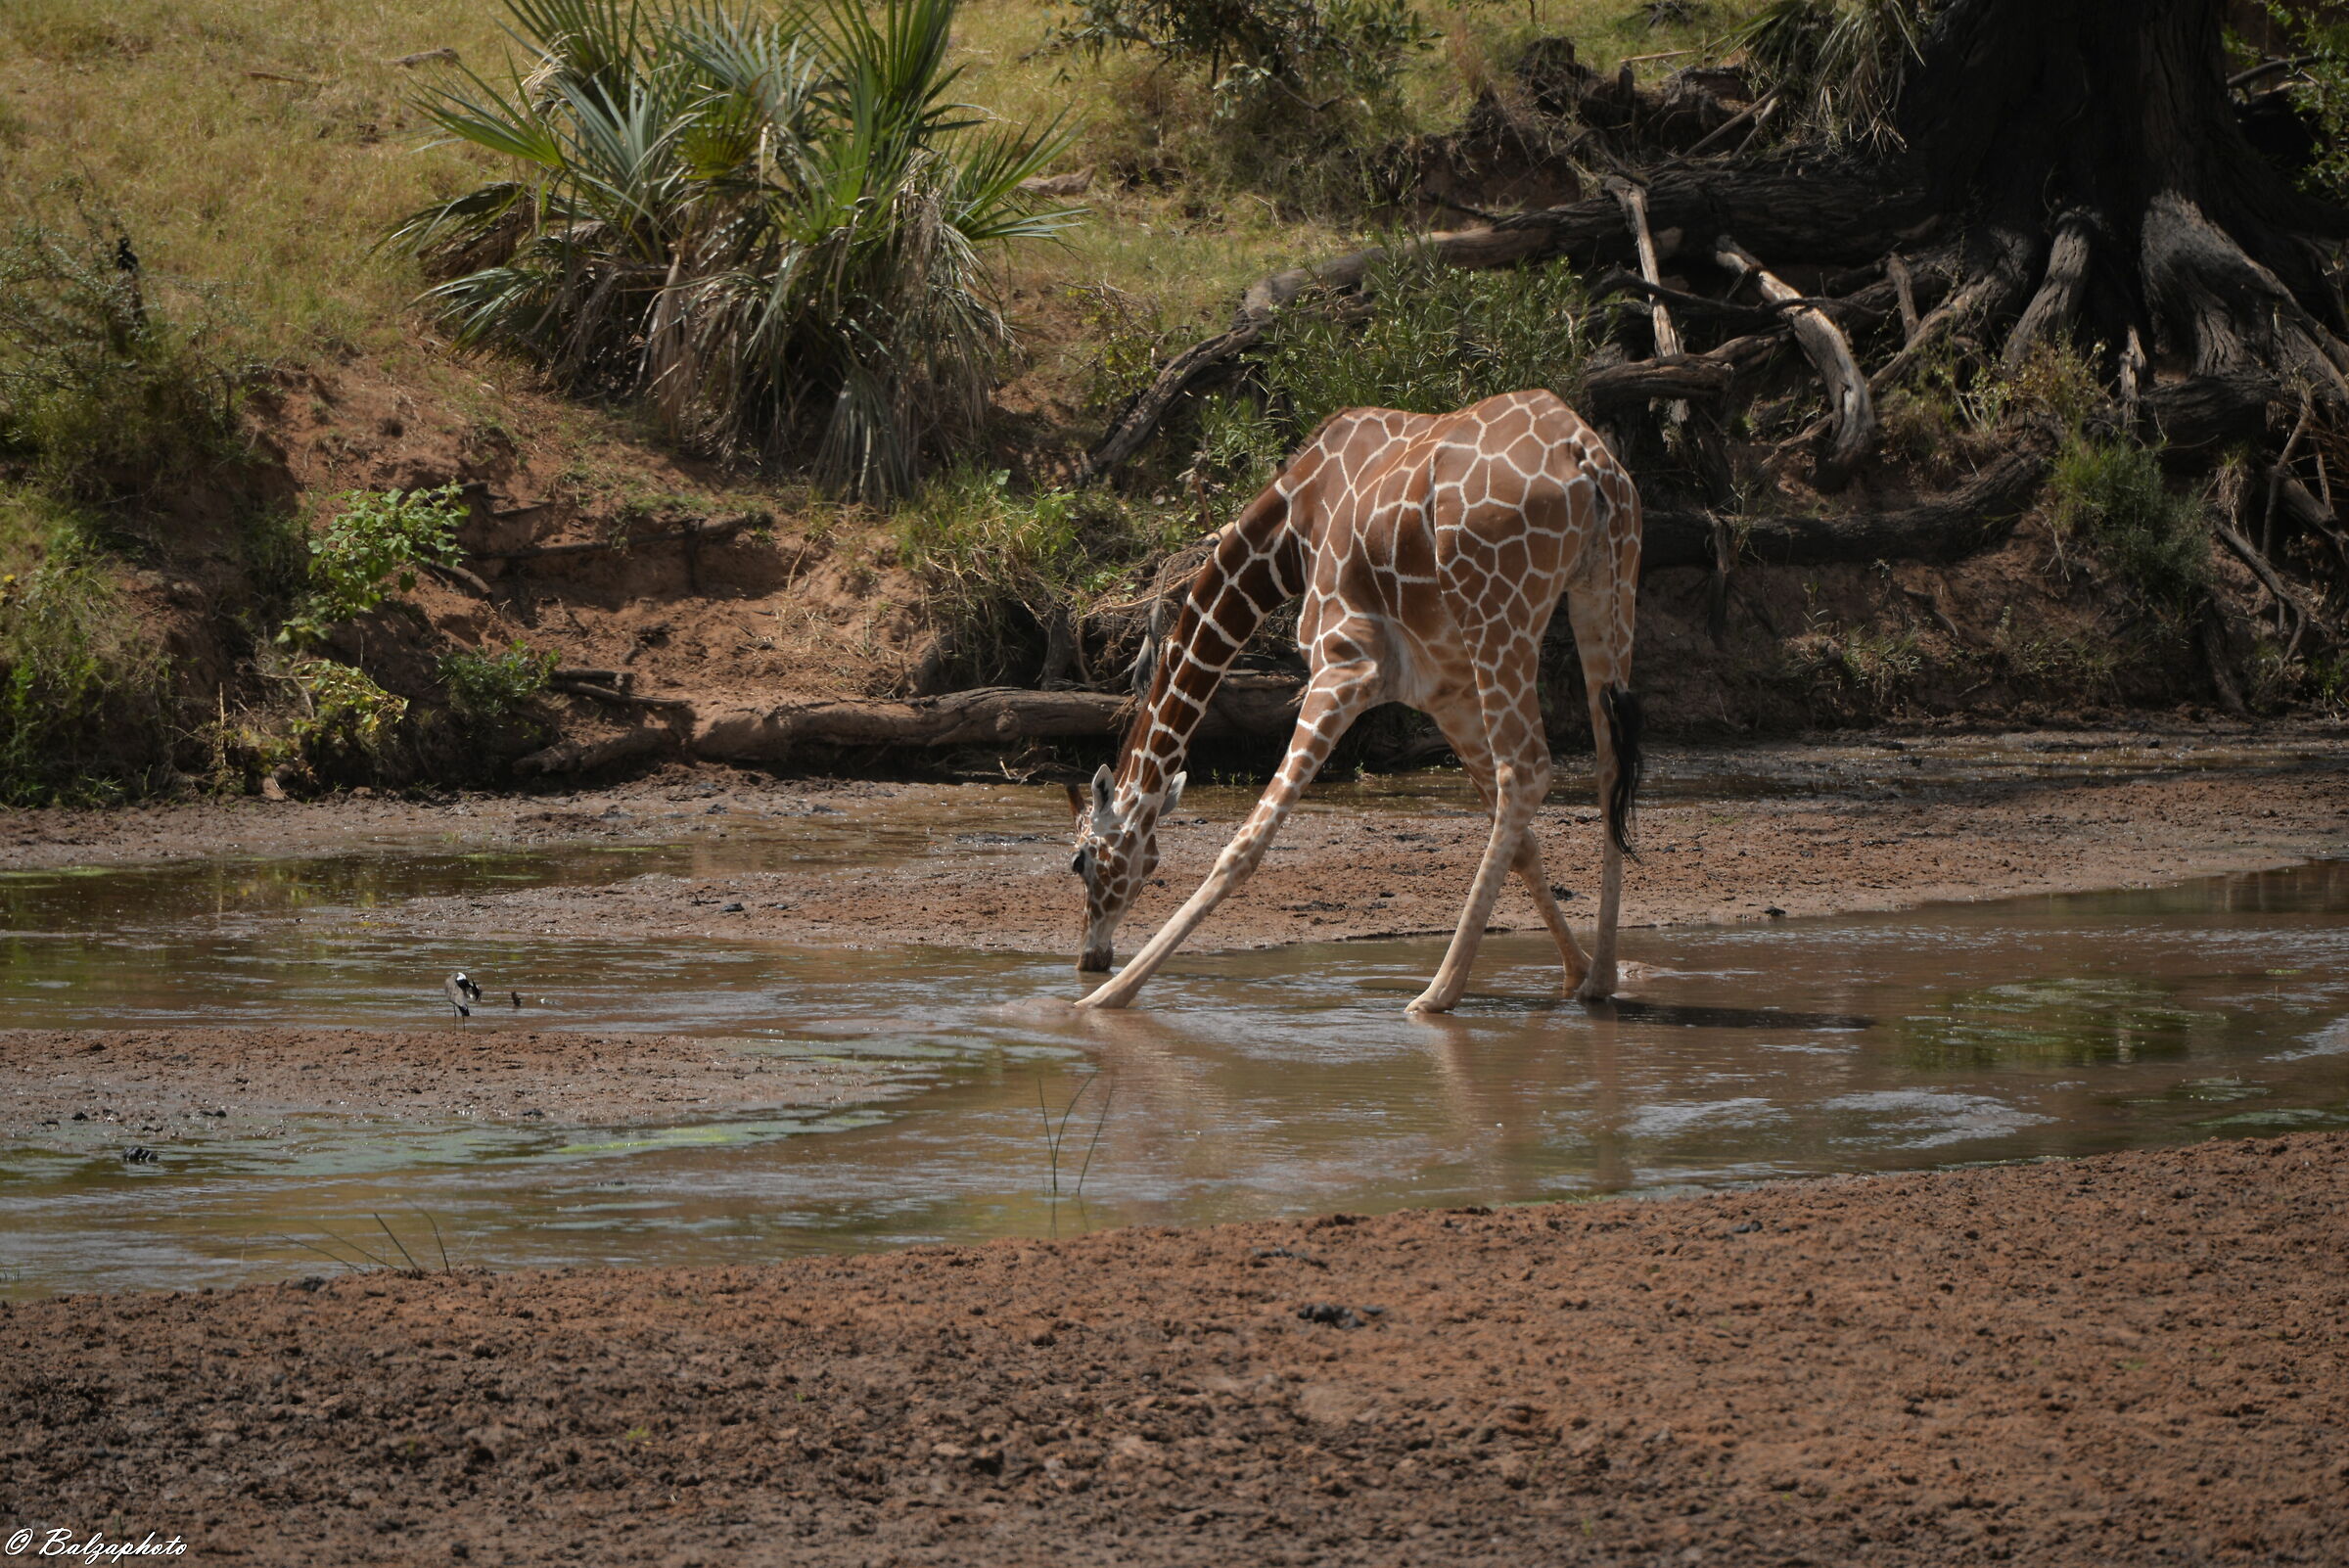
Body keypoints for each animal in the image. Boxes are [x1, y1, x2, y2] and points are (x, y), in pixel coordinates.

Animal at [1064, 388, 1643, 1015]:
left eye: (1080, 860)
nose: (1090, 957)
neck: (1290, 534)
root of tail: (1588, 455)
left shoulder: (1344, 665)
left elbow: (1246, 844)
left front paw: (1104, 999)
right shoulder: (1443, 691)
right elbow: (1525, 848)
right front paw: (1574, 969)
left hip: (1500, 620)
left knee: (1528, 770)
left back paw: (1436, 993)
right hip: (1606, 590)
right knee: (1608, 765)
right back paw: (1601, 977)